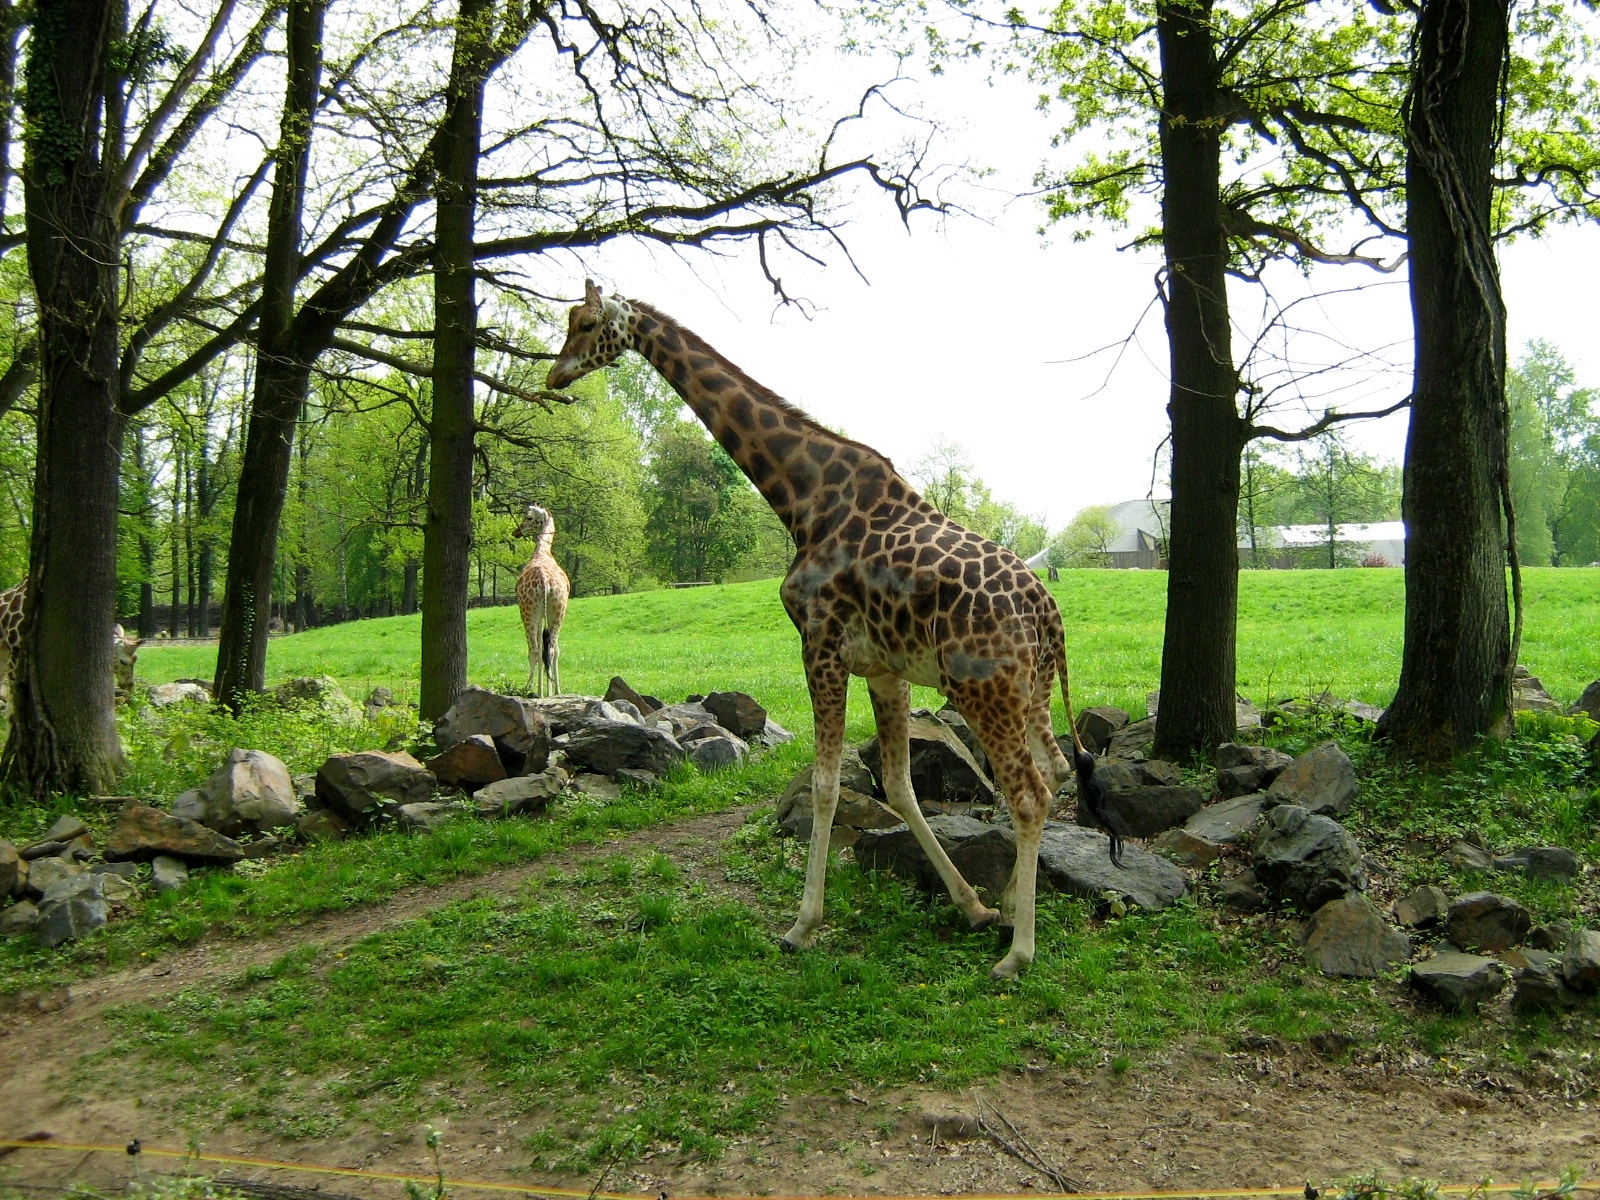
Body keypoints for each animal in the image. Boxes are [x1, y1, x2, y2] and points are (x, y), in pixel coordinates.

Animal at [515, 504, 569, 697]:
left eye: (529, 517)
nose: (516, 531)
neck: (542, 552)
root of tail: (545, 583)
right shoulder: (546, 615)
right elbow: (549, 649)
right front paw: (549, 691)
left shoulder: (535, 615)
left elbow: (537, 650)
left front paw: (539, 691)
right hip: (558, 611)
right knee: (552, 649)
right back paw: (555, 692)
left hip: (528, 611)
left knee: (534, 650)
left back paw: (528, 690)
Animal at [547, 281, 1123, 979]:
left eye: (584, 323)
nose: (554, 376)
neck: (802, 497)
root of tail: (1048, 611)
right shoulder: (882, 668)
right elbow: (899, 785)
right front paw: (973, 906)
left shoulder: (818, 646)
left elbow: (825, 786)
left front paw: (802, 924)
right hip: (1028, 692)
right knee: (1059, 770)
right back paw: (1010, 908)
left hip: (981, 690)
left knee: (1031, 793)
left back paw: (1018, 955)